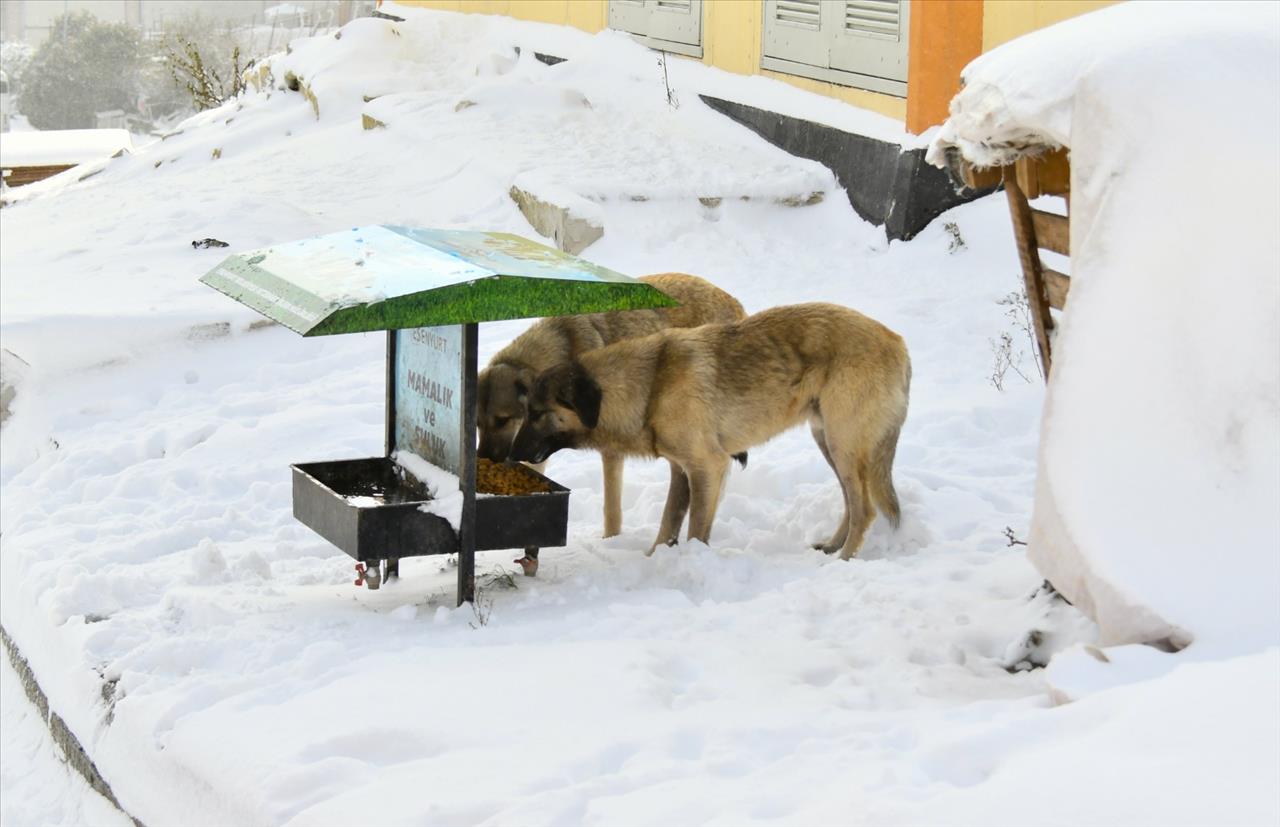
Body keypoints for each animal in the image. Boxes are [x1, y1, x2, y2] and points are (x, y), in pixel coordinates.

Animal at [476, 275, 747, 540]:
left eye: (503, 419)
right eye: (477, 424)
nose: (483, 459)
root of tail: (732, 299)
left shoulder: (610, 447)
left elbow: (612, 507)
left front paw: (611, 541)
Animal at [506, 300, 911, 560]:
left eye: (538, 413)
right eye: (524, 412)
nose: (508, 456)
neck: (650, 385)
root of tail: (898, 342)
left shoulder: (708, 468)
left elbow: (695, 530)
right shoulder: (681, 471)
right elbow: (669, 522)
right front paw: (656, 560)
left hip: (844, 444)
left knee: (865, 509)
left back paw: (844, 560)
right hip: (828, 440)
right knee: (850, 502)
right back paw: (831, 546)